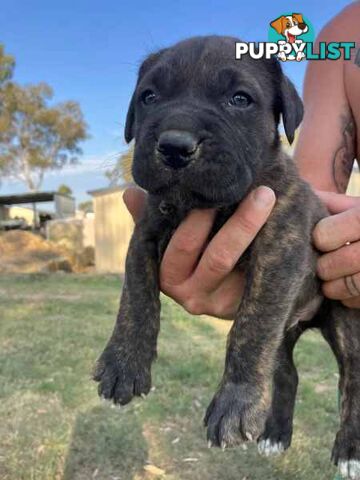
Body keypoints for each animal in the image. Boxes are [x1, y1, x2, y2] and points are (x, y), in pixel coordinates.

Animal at [94, 35, 360, 478]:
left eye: (240, 99)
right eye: (149, 96)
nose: (175, 146)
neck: (208, 206)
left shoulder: (279, 250)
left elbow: (251, 330)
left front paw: (234, 404)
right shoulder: (144, 234)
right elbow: (135, 296)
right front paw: (124, 363)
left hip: (345, 320)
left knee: (351, 380)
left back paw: (349, 451)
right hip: (286, 334)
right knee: (286, 374)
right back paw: (274, 436)